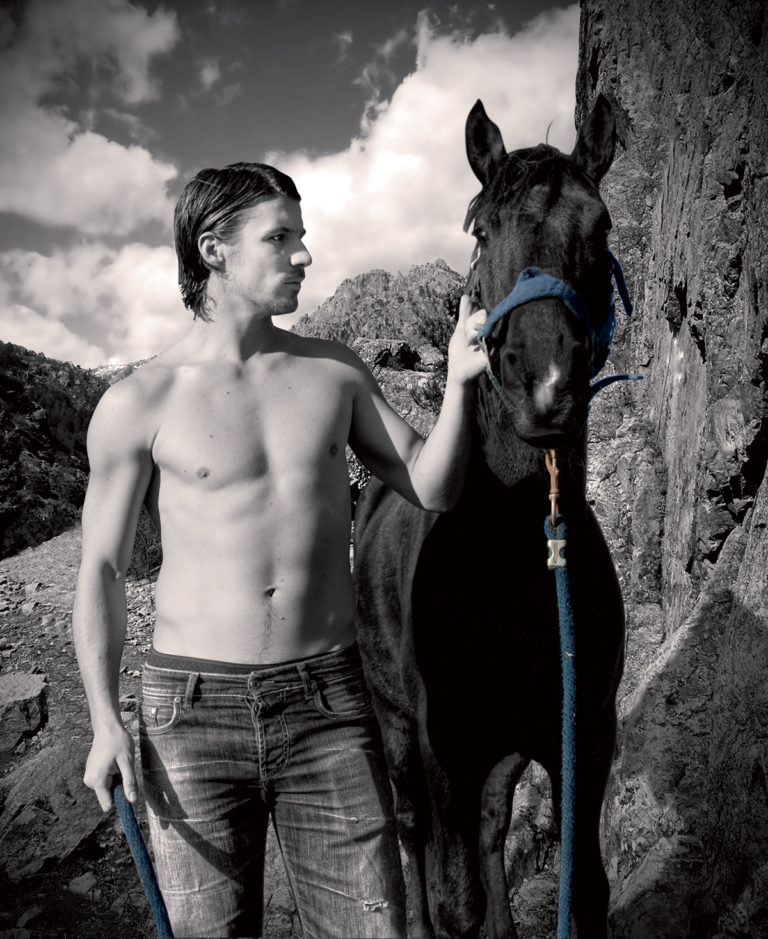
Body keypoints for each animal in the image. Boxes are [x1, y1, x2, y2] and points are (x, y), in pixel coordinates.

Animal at [353, 94, 626, 939]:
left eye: (600, 226)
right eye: (480, 229)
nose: (545, 381)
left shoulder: (581, 733)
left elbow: (584, 886)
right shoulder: (447, 742)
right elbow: (455, 898)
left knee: (492, 825)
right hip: (396, 727)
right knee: (414, 833)